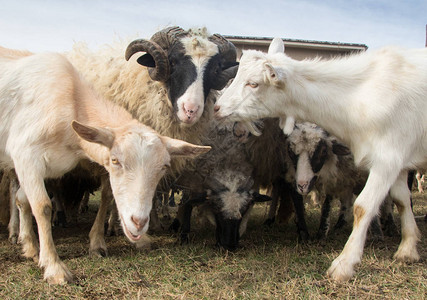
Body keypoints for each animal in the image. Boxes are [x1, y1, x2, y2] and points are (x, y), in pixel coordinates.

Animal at [0, 47, 211, 284]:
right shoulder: (25, 154)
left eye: (164, 167)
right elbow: (43, 206)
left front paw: (30, 246)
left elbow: (25, 200)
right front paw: (54, 267)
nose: (139, 222)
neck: (71, 101)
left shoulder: (44, 167)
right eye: (115, 160)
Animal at [214, 37, 427, 282]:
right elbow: (402, 200)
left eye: (254, 84)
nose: (217, 108)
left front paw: (344, 265)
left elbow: (363, 207)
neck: (361, 97)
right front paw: (407, 250)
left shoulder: (387, 158)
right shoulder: (399, 162)